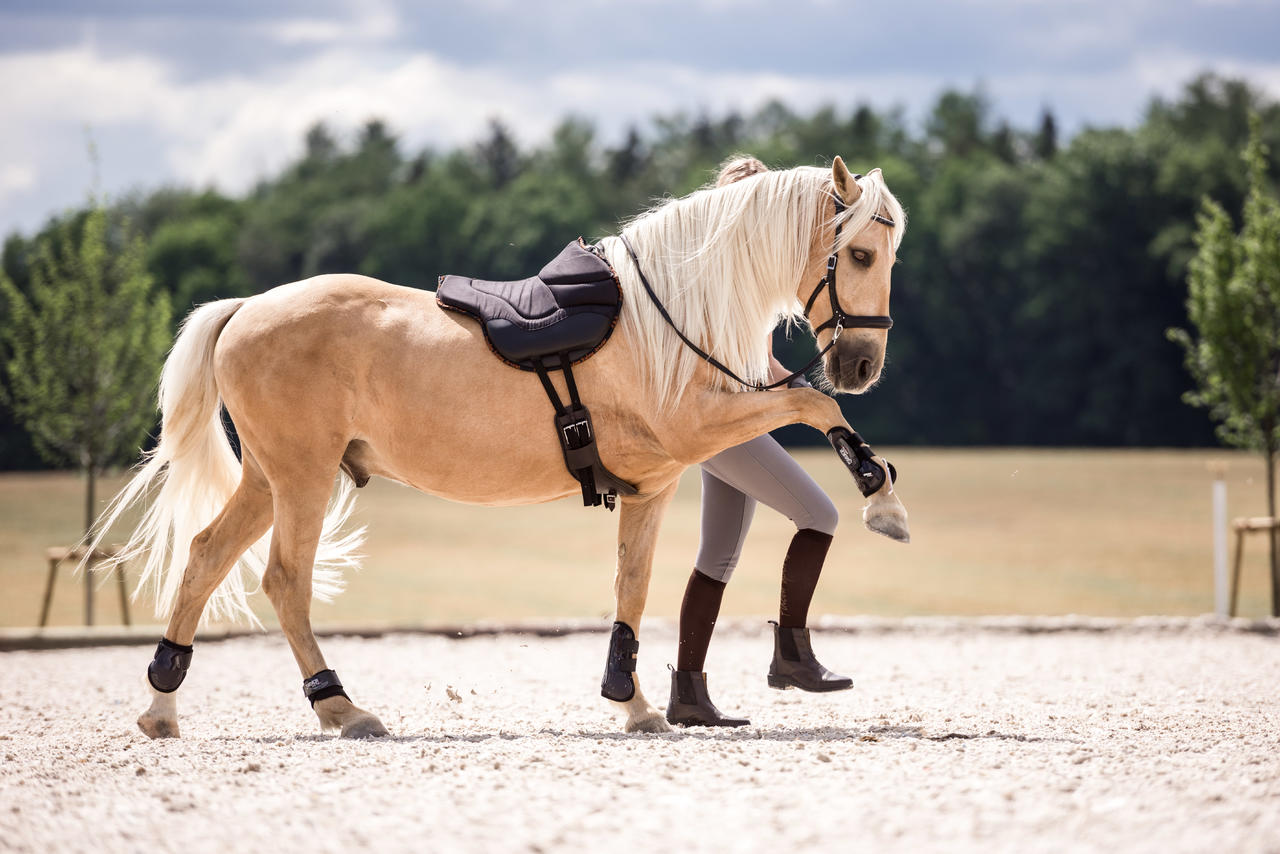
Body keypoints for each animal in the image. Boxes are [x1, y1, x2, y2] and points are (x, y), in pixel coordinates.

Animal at [92, 155, 911, 742]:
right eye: (861, 254)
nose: (864, 365)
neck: (667, 318)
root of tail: (244, 310)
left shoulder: (654, 482)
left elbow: (633, 587)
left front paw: (634, 703)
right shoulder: (693, 433)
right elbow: (812, 401)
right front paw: (882, 497)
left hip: (268, 478)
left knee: (204, 557)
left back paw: (162, 709)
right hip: (302, 478)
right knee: (285, 581)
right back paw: (342, 710)